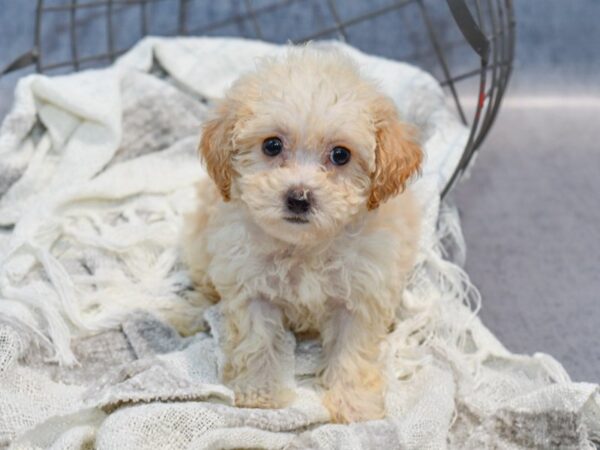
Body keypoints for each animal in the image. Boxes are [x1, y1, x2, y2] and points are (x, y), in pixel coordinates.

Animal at [183, 45, 422, 422]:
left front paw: (354, 404)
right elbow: (257, 341)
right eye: (271, 145)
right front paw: (260, 394)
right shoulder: (251, 287)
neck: (305, 248)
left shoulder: (361, 295)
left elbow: (352, 351)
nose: (298, 198)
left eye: (340, 154)